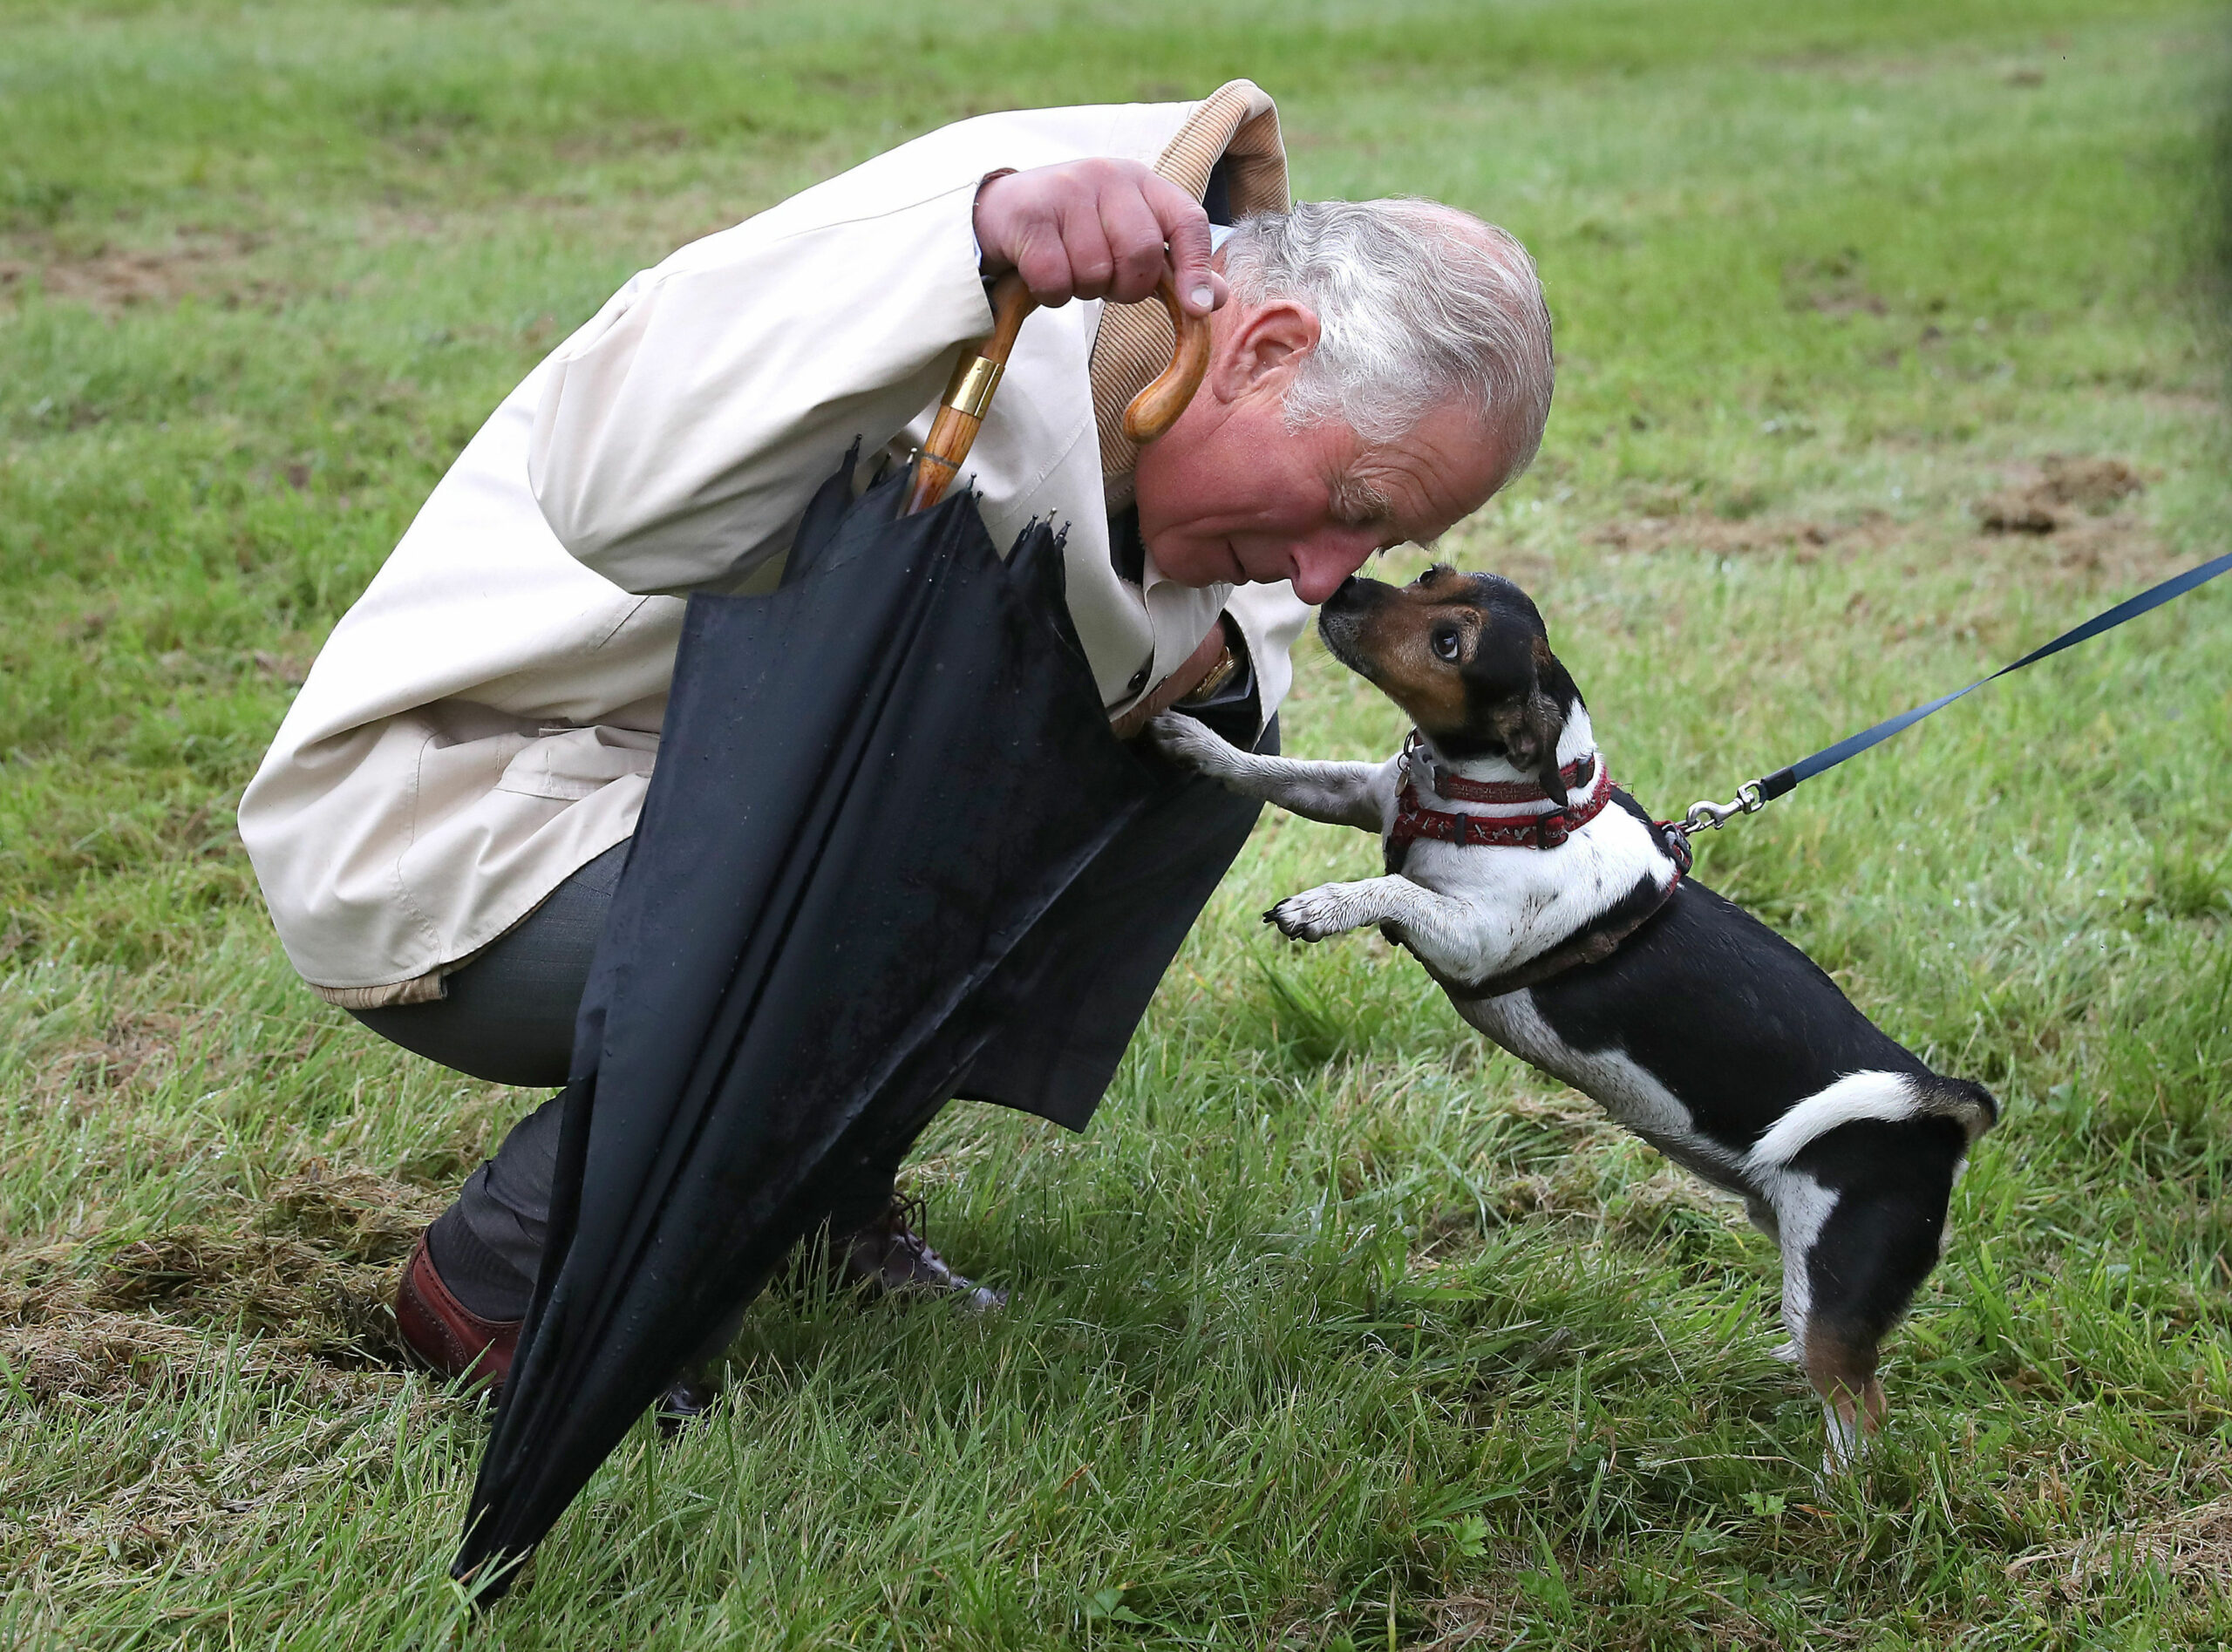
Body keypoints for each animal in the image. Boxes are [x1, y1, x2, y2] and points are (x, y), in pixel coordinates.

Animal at [1160, 567, 1999, 1455]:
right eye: (1431, 577)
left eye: (1449, 643)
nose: (1344, 585)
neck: (1499, 798)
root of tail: (1945, 1107)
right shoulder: (1357, 792)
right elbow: (1275, 775)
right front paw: (1195, 742)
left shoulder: (1469, 935)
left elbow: (1392, 887)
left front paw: (1324, 905)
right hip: (1794, 1246)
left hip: (1837, 1288)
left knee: (1860, 1407)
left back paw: (1834, 1482)